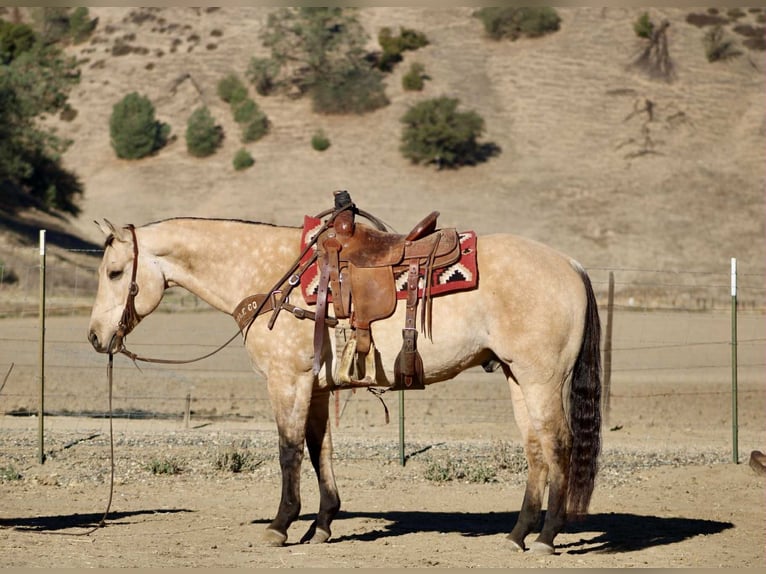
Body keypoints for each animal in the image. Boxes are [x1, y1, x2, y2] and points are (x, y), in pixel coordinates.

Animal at [87, 212, 602, 555]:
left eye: (114, 272)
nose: (95, 337)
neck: (270, 276)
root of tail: (572, 265)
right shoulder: (316, 387)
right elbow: (320, 450)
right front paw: (322, 524)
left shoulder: (287, 381)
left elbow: (289, 450)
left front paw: (280, 525)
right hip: (518, 376)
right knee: (535, 448)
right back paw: (518, 535)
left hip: (541, 378)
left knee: (558, 444)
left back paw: (547, 536)